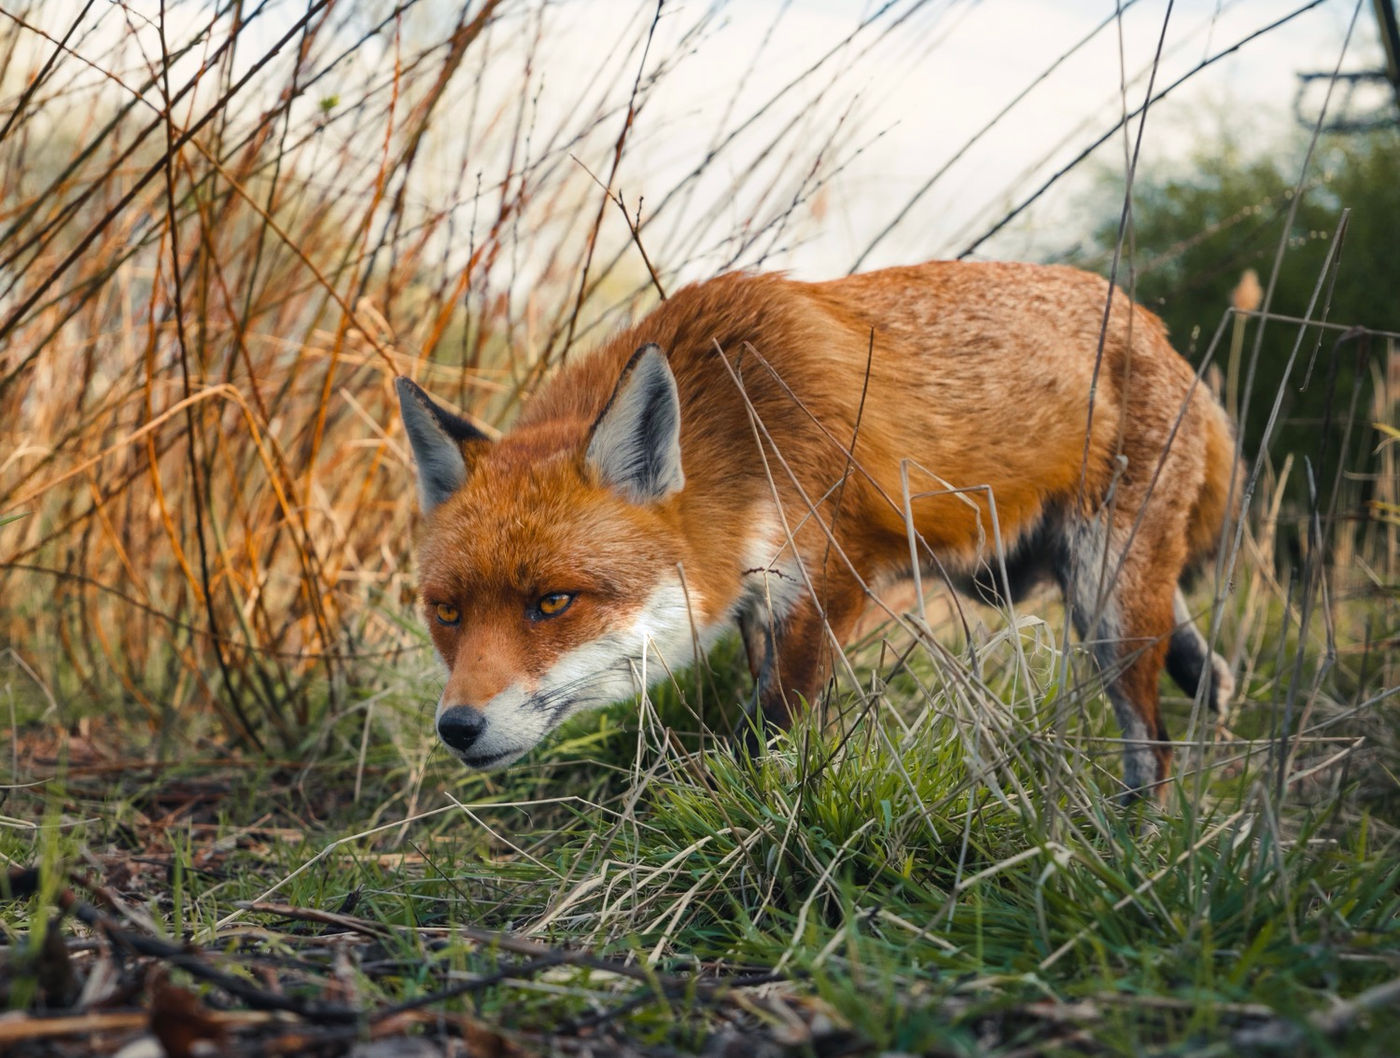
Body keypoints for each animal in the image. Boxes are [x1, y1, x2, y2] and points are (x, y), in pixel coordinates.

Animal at [396, 260, 1239, 801]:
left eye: (553, 603)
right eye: (447, 613)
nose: (457, 727)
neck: (742, 427)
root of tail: (1161, 335)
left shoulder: (828, 583)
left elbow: (766, 735)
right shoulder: (756, 600)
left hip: (1110, 606)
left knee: (1153, 748)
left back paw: (1139, 852)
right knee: (1206, 669)